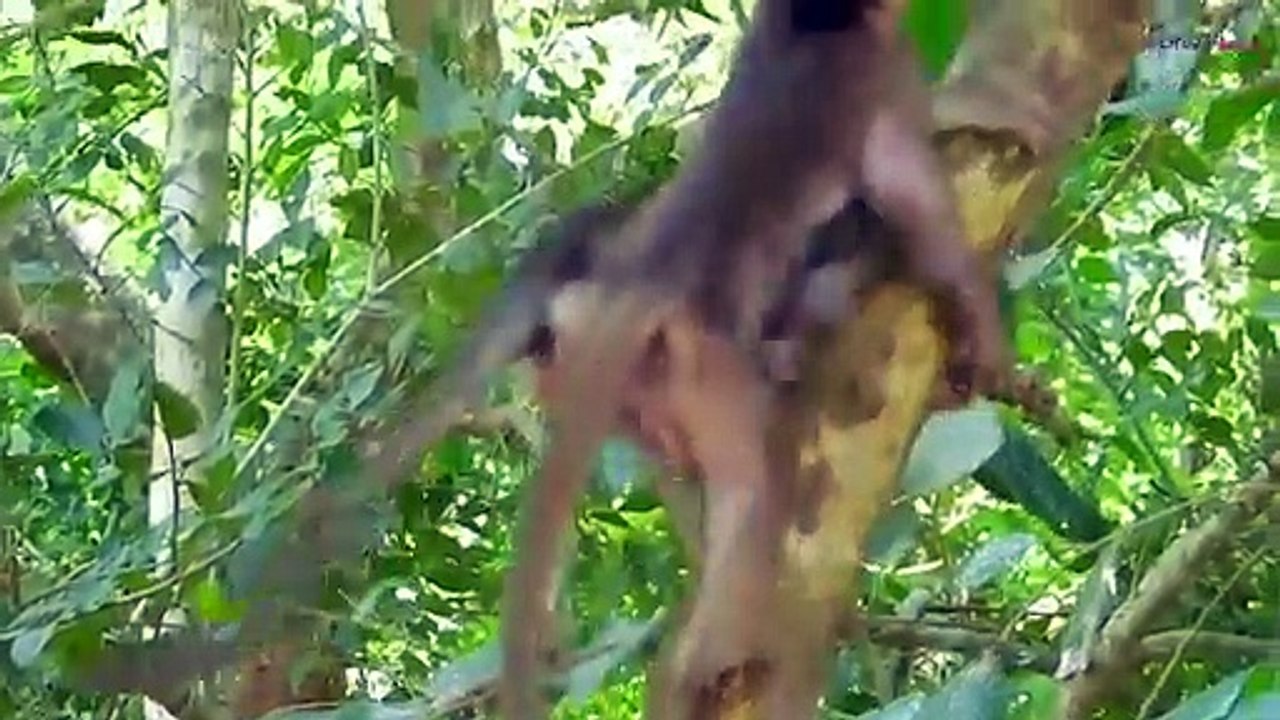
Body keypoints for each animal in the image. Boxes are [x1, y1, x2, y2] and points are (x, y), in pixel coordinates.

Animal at [498, 0, 1010, 716]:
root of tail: (643, 286)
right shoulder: (886, 73)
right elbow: (918, 208)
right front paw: (982, 336)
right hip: (705, 367)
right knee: (750, 499)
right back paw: (707, 668)